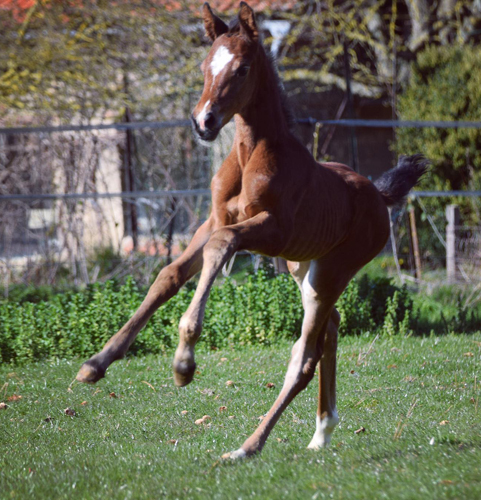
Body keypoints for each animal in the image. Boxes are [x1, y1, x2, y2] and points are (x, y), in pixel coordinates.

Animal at [76, 1, 428, 458]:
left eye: (242, 69)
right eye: (205, 65)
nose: (203, 121)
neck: (249, 155)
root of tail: (378, 195)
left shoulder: (270, 229)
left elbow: (221, 247)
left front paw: (184, 362)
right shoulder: (213, 220)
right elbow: (169, 274)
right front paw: (96, 363)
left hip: (330, 273)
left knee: (304, 358)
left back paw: (248, 446)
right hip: (304, 268)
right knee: (330, 329)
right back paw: (321, 432)